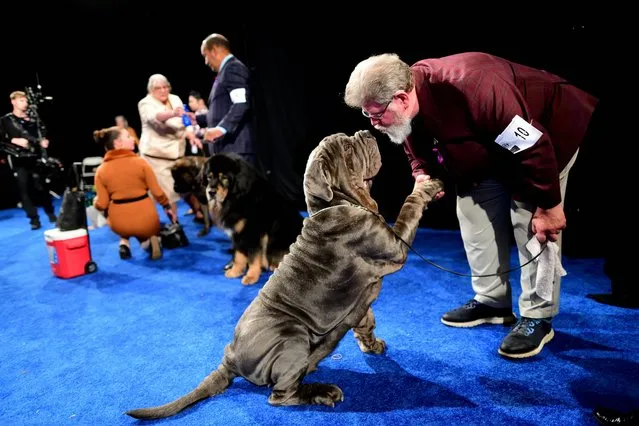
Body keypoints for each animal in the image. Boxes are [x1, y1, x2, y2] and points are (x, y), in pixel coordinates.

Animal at [205, 151, 304, 284]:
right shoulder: (238, 233)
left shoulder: (253, 233)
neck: (237, 197)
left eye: (224, 178)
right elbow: (239, 255)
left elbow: (253, 257)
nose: (211, 192)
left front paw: (251, 276)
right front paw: (235, 272)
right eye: (209, 177)